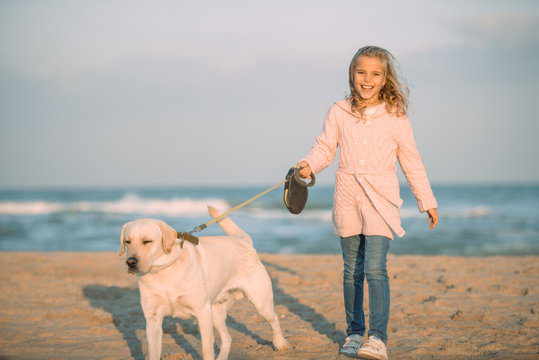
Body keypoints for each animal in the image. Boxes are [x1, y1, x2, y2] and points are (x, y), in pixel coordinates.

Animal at [118, 207, 292, 358]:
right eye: (127, 242)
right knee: (227, 338)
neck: (163, 272)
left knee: (275, 320)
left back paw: (281, 344)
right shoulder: (153, 320)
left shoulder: (202, 312)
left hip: (260, 303)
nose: (130, 262)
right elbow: (153, 353)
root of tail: (244, 242)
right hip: (215, 313)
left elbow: (207, 350)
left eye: (147, 241)